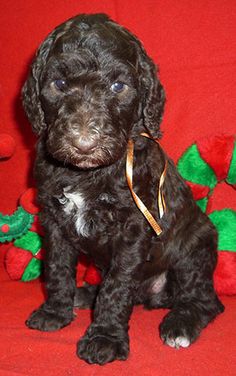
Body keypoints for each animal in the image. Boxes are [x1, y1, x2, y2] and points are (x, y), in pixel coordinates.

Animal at [21, 13, 223, 364]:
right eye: (60, 85)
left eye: (119, 86)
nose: (84, 144)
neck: (88, 173)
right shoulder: (53, 218)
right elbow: (58, 266)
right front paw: (55, 312)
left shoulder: (133, 227)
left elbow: (117, 285)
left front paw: (105, 338)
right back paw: (85, 293)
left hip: (194, 251)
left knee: (205, 300)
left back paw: (180, 325)